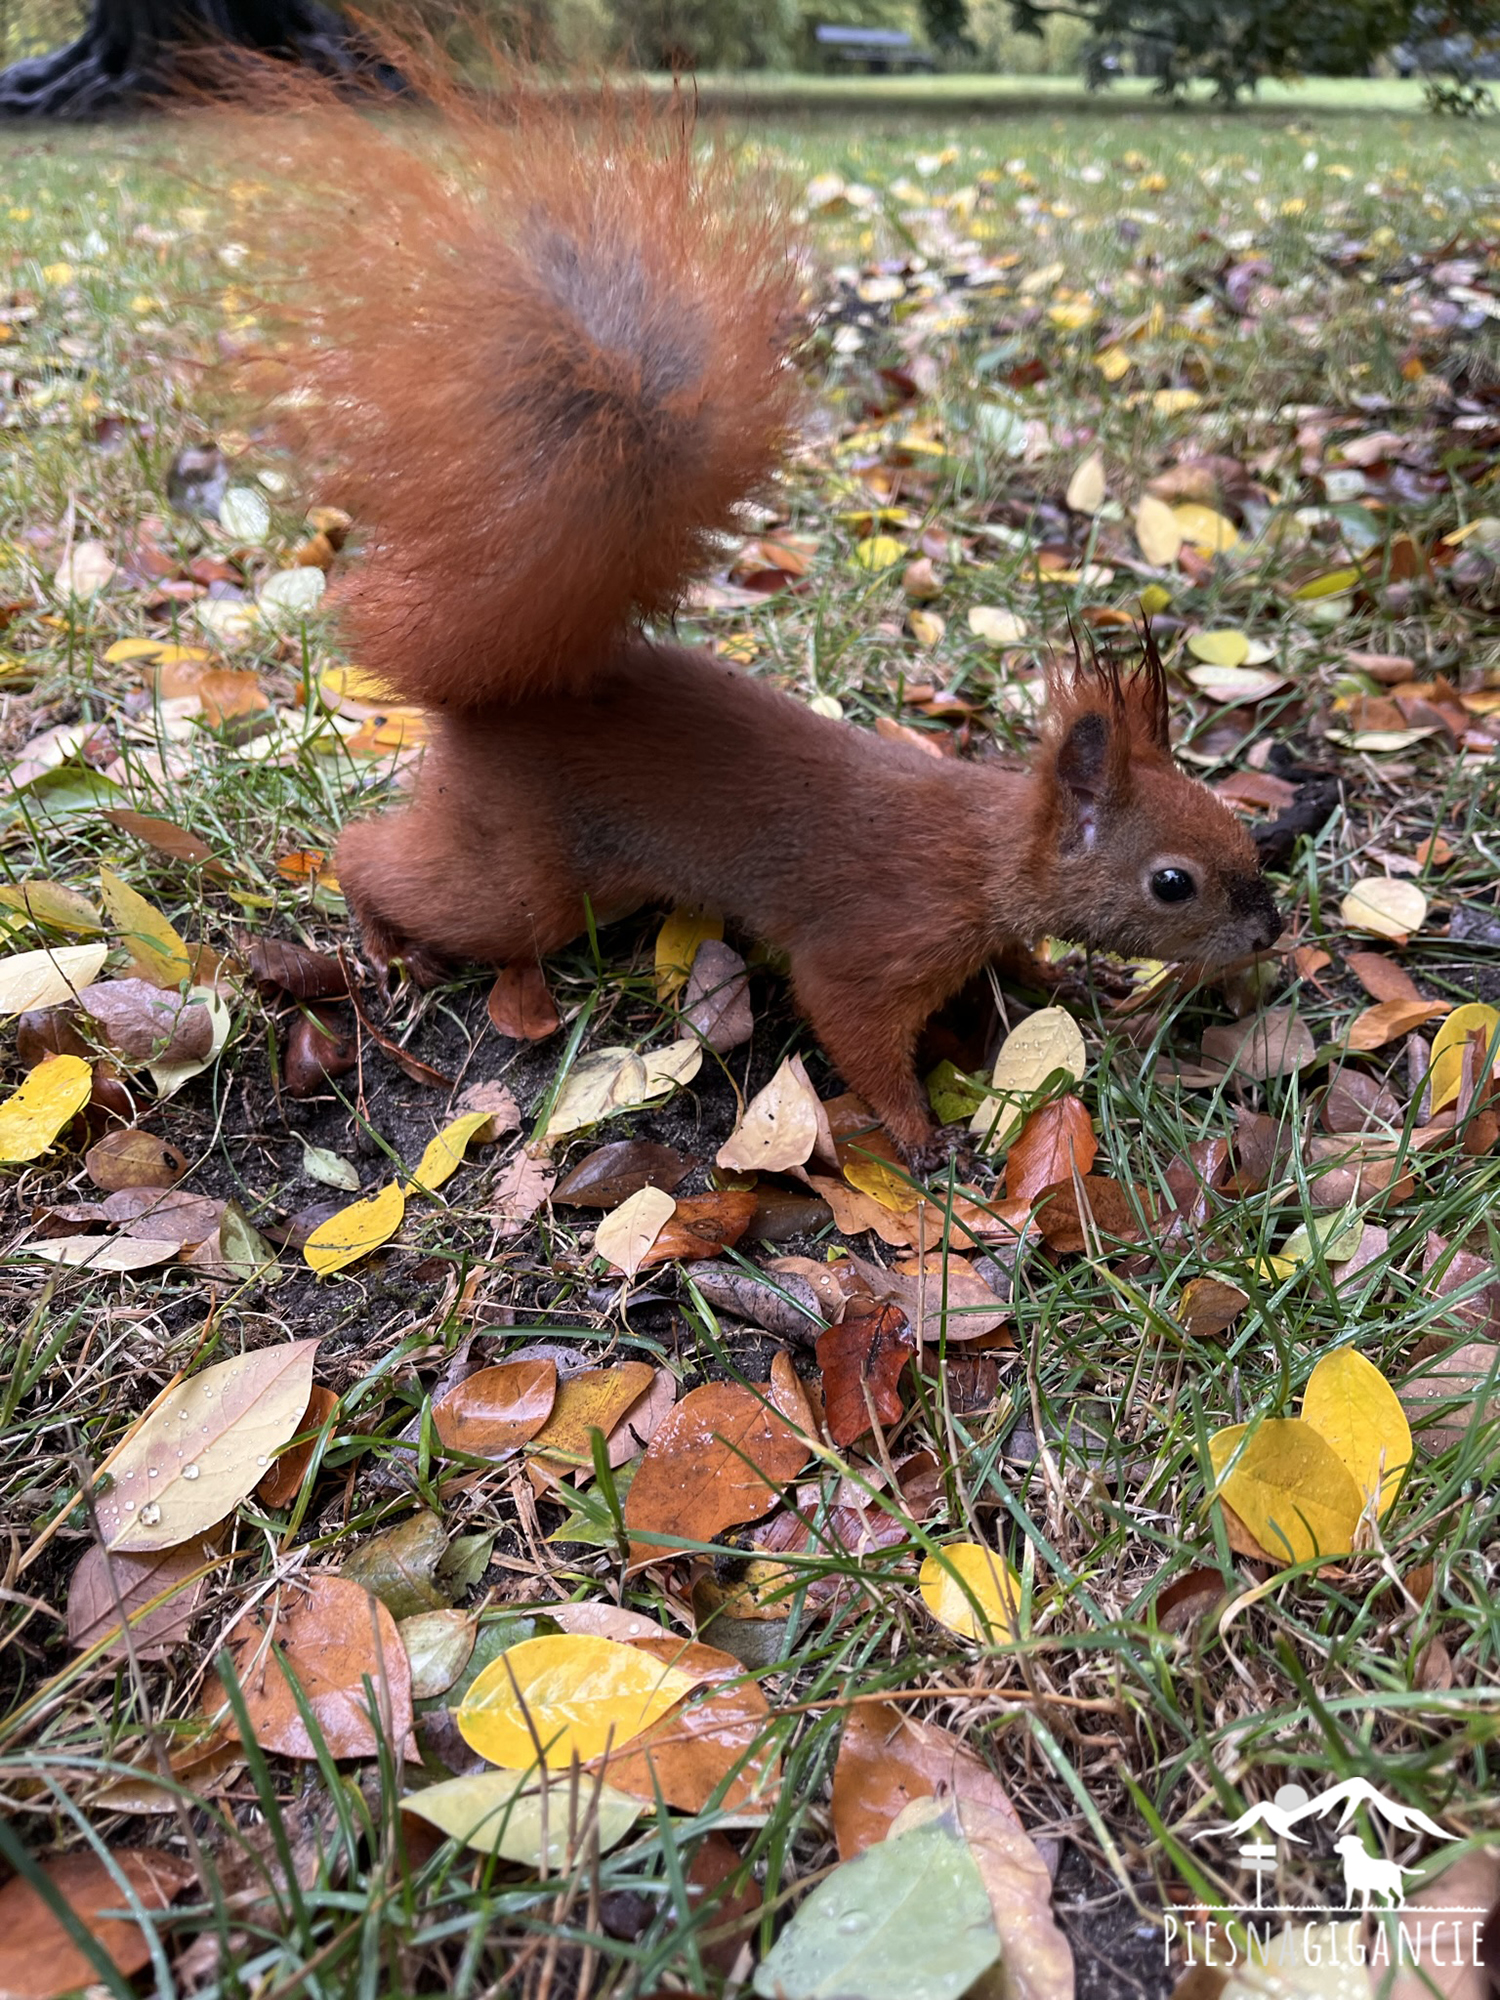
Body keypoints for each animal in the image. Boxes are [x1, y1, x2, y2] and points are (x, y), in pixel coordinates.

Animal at [244, 78, 1280, 1168]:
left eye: (1234, 824)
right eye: (1173, 883)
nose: (1270, 932)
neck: (984, 850)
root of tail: (504, 695)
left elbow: (1017, 963)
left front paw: (1066, 976)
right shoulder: (877, 944)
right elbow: (857, 1031)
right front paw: (919, 1136)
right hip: (524, 883)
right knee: (379, 858)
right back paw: (382, 940)